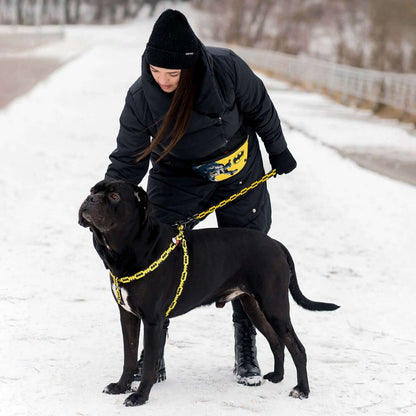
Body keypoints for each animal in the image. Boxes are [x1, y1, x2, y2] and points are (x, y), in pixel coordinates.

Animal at [78, 180, 338, 406]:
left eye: (114, 196)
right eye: (92, 190)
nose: (89, 199)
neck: (132, 247)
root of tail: (275, 243)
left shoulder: (152, 320)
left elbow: (150, 361)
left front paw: (139, 397)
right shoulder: (128, 316)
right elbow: (129, 356)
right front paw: (121, 386)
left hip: (274, 306)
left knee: (297, 348)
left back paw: (302, 390)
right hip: (254, 306)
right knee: (276, 341)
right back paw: (277, 377)